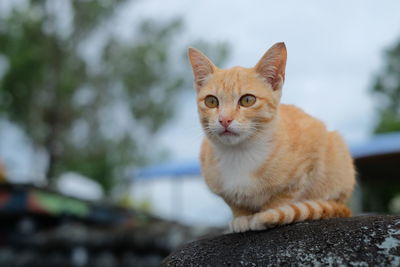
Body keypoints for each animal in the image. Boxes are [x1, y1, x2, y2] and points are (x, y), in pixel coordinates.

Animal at [188, 42, 356, 232]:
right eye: (211, 101)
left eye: (247, 100)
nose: (224, 119)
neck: (240, 153)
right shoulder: (219, 186)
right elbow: (234, 202)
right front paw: (241, 217)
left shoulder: (308, 162)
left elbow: (281, 198)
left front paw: (266, 216)